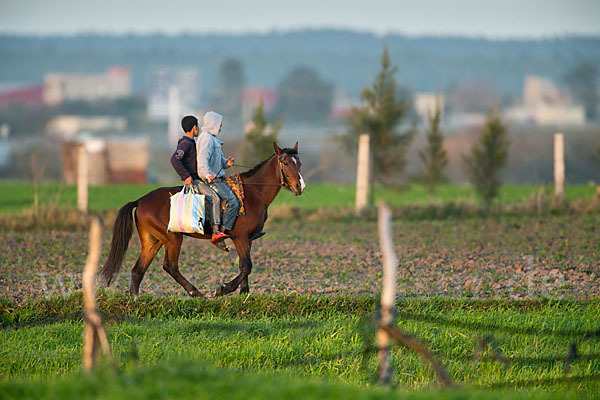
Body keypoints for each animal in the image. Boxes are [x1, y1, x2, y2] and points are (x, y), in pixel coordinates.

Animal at [101, 142, 304, 296]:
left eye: (299, 163)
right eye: (286, 163)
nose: (299, 186)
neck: (253, 193)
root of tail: (141, 200)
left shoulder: (248, 238)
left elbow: (244, 266)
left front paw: (244, 293)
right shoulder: (239, 236)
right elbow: (247, 266)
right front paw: (223, 289)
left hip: (152, 240)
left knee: (138, 270)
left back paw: (135, 297)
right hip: (173, 238)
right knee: (170, 266)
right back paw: (196, 293)